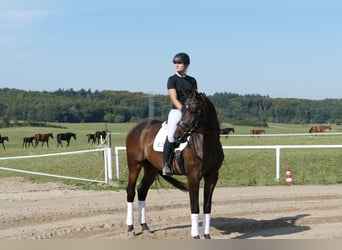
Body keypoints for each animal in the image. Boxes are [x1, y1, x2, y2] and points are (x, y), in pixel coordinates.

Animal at [125, 89, 224, 238]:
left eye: (193, 110)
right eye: (182, 110)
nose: (177, 136)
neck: (205, 143)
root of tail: (137, 128)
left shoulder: (212, 176)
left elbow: (207, 206)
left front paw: (207, 235)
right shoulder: (193, 176)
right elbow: (195, 206)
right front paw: (196, 235)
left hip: (151, 168)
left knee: (142, 190)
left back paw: (145, 227)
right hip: (134, 165)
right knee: (130, 191)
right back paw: (130, 229)